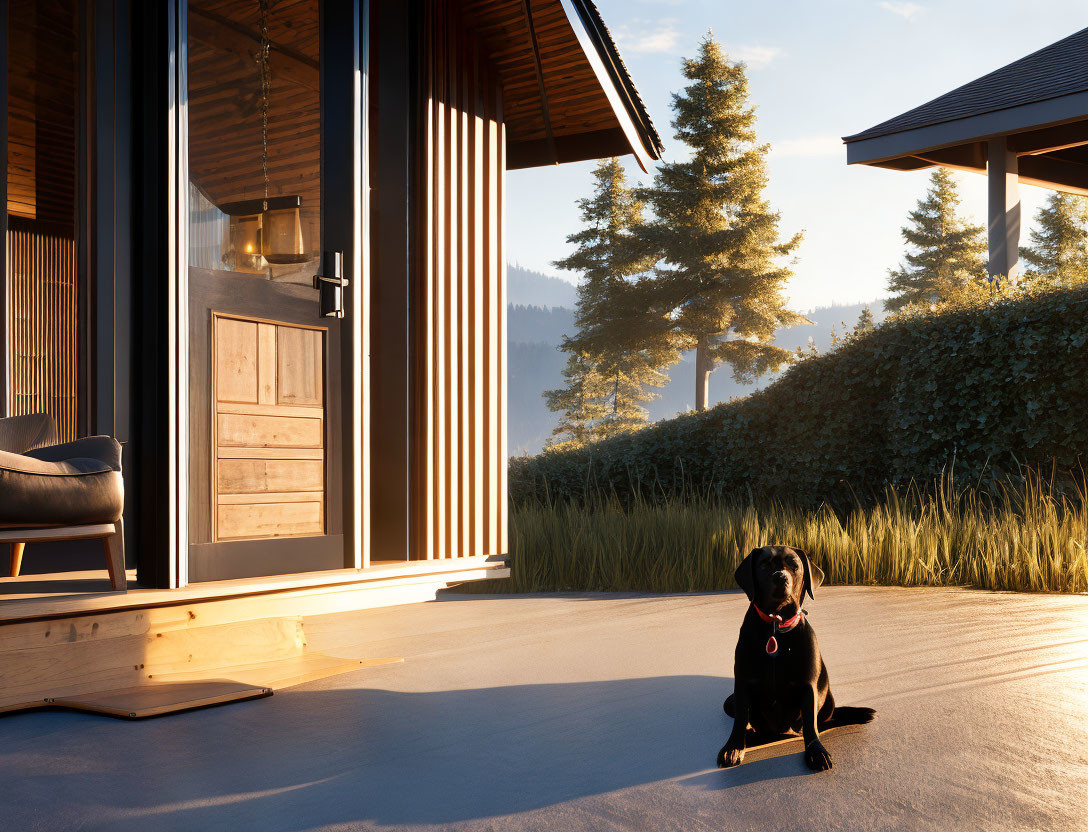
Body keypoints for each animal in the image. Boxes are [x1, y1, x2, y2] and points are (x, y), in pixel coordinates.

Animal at [713, 545, 874, 774]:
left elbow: (810, 725)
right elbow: (741, 719)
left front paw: (816, 751)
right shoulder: (742, 682)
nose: (780, 577)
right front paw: (733, 747)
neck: (775, 626)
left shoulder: (808, 686)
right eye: (764, 564)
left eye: (794, 565)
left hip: (828, 700)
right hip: (731, 702)